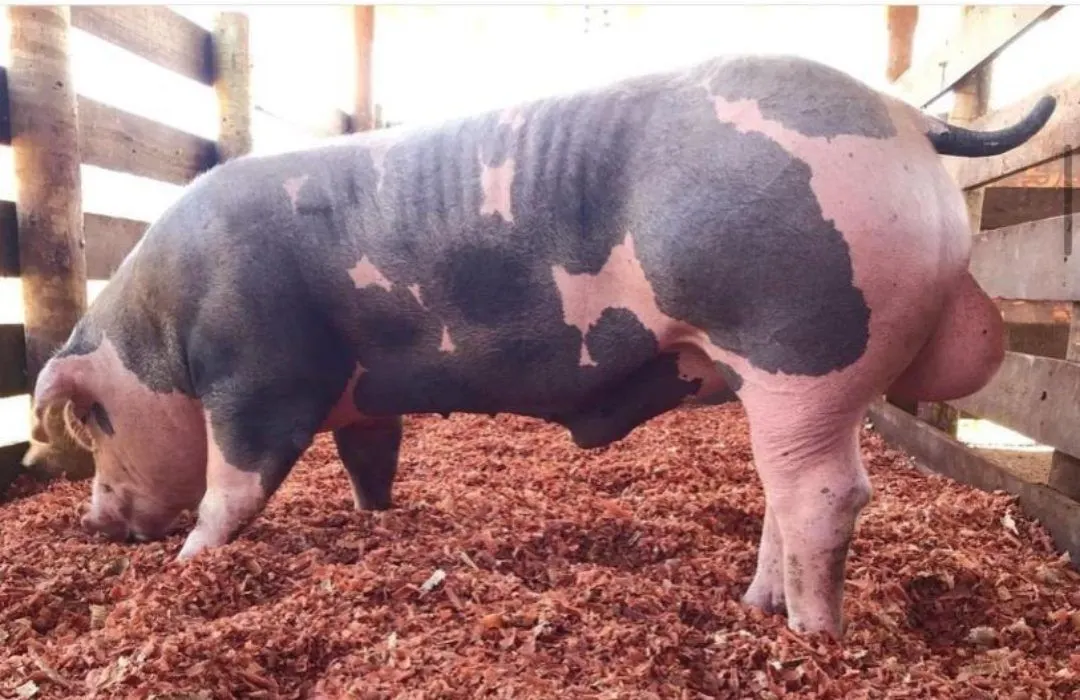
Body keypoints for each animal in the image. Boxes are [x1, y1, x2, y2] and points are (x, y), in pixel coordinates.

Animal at [27, 54, 1054, 638]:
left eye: (93, 420)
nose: (95, 521)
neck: (163, 335)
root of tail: (911, 118)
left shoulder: (258, 373)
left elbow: (235, 483)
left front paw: (190, 564)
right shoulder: (361, 397)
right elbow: (370, 461)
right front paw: (375, 522)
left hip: (797, 338)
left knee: (828, 493)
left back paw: (808, 638)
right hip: (789, 372)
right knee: (785, 488)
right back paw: (756, 607)